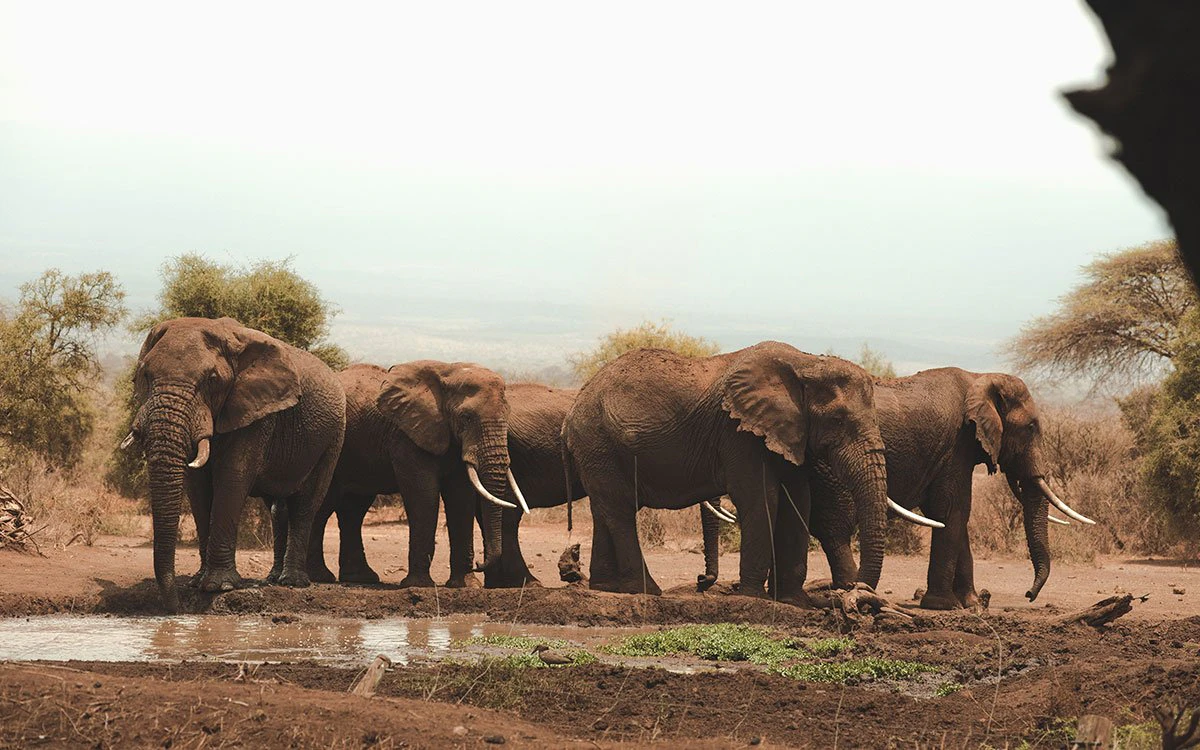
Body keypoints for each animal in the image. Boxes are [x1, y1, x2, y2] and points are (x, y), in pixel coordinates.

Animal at [124, 317, 346, 613]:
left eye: (212, 380)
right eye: (145, 375)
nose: (176, 610)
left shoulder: (256, 411)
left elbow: (232, 478)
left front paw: (219, 587)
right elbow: (198, 487)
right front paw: (197, 582)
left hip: (333, 438)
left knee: (306, 504)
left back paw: (292, 582)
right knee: (278, 508)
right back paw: (273, 578)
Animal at [304, 362, 519, 588]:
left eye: (508, 415)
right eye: (466, 417)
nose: (479, 563)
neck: (447, 373)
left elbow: (460, 497)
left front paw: (466, 585)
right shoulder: (406, 436)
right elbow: (424, 495)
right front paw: (418, 585)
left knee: (353, 509)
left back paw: (360, 578)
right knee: (323, 504)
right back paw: (319, 577)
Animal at [561, 341, 900, 602]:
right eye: (838, 420)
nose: (857, 591)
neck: (806, 363)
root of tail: (573, 408)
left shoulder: (788, 434)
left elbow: (798, 502)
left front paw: (793, 601)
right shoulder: (737, 433)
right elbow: (762, 498)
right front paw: (753, 597)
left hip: (597, 450)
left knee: (604, 509)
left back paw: (605, 588)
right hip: (598, 442)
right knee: (620, 510)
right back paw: (646, 591)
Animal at [800, 368, 1094, 609]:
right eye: (1030, 427)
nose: (1028, 595)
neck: (979, 378)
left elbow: (950, 516)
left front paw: (972, 604)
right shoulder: (957, 445)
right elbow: (953, 510)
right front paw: (945, 605)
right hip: (828, 463)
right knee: (835, 526)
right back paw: (850, 589)